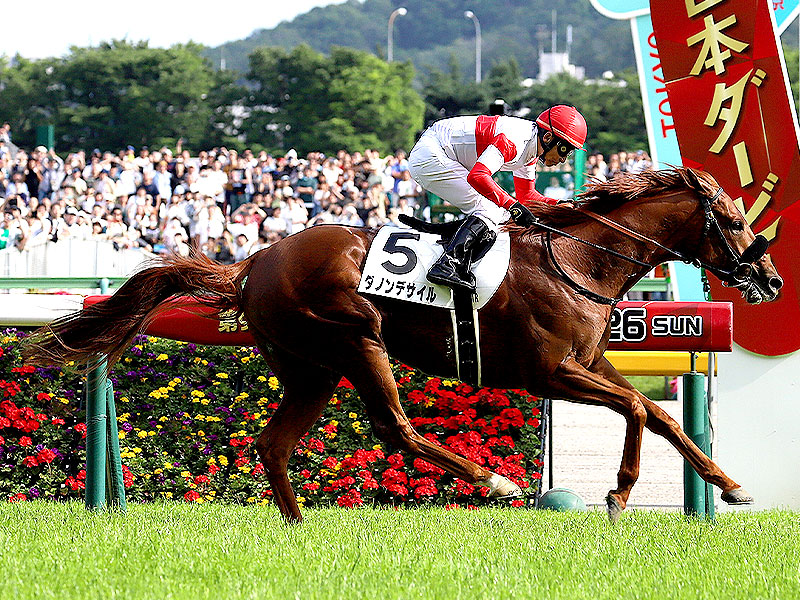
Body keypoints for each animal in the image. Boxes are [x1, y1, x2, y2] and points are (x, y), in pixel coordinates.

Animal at [23, 167, 782, 523]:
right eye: (734, 219)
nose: (770, 278)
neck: (577, 259)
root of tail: (255, 260)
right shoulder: (547, 372)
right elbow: (638, 410)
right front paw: (620, 492)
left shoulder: (589, 362)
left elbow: (656, 414)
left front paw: (730, 485)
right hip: (356, 341)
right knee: (396, 428)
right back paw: (494, 480)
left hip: (311, 368)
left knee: (275, 442)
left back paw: (296, 523)